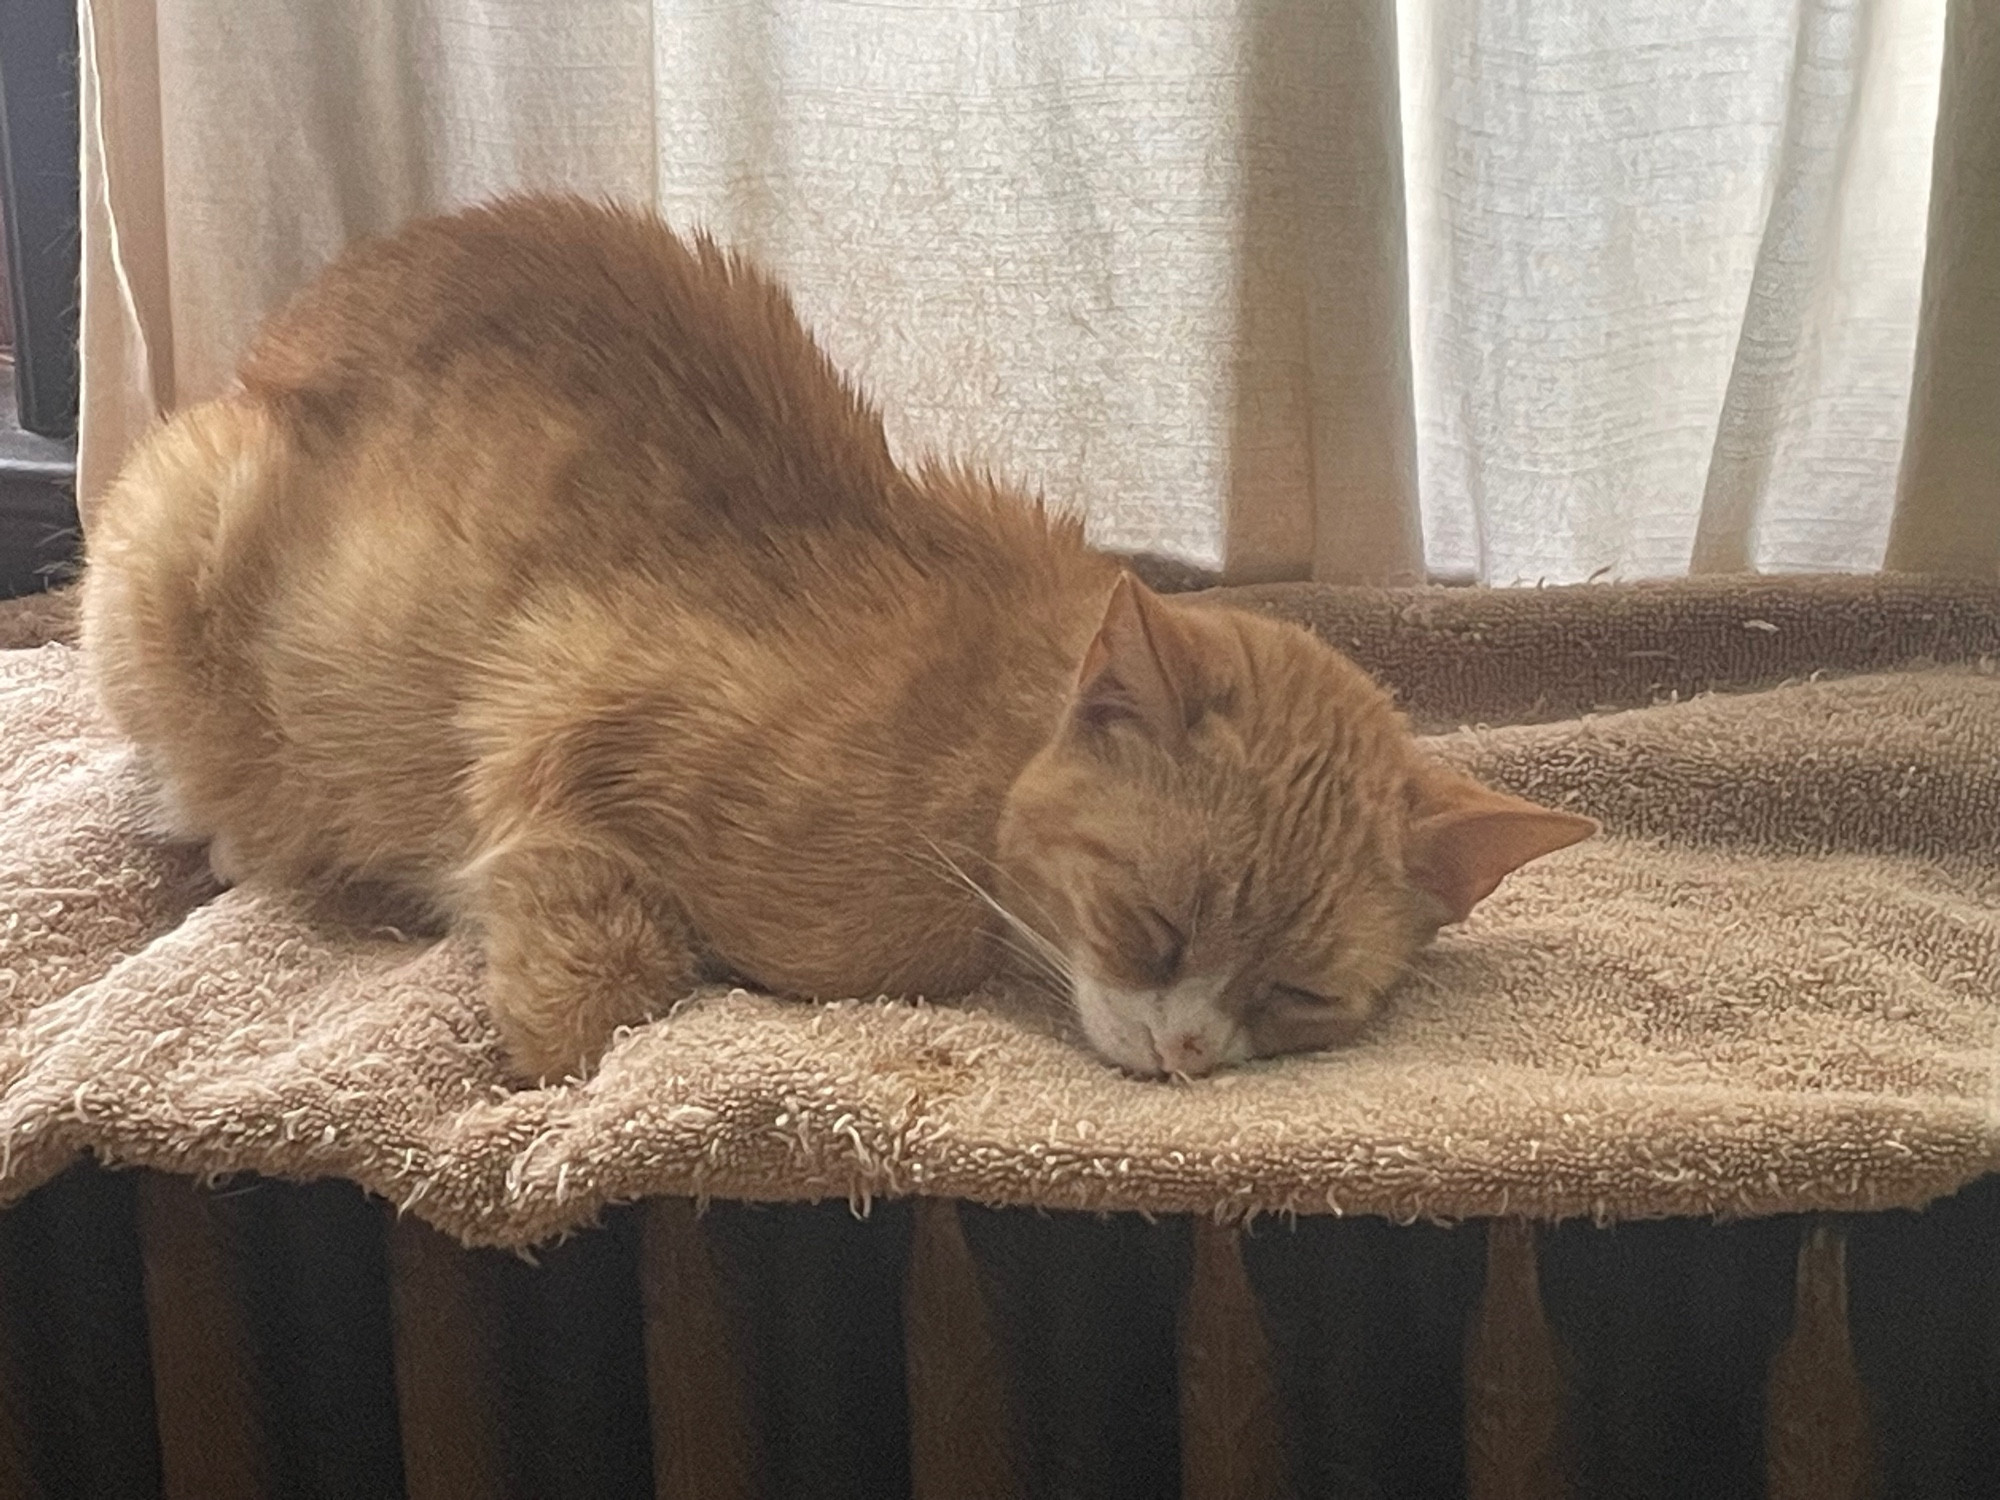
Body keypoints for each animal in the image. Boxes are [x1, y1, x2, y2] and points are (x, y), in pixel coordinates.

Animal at [78, 197, 1592, 1080]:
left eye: (1296, 994)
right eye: (1152, 927)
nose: (1185, 1057)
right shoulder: (556, 711)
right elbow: (606, 966)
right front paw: (541, 1045)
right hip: (168, 535)